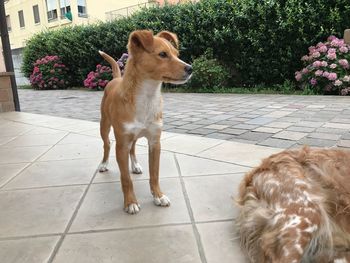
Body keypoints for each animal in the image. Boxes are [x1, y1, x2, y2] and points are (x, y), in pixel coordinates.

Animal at [98, 29, 191, 214]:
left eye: (177, 54)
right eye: (162, 54)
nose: (190, 68)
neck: (147, 97)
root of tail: (116, 78)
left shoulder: (155, 142)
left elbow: (154, 174)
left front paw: (158, 196)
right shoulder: (121, 145)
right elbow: (125, 178)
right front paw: (130, 202)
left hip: (133, 137)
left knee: (133, 149)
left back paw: (135, 166)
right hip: (104, 126)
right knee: (107, 145)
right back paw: (104, 164)